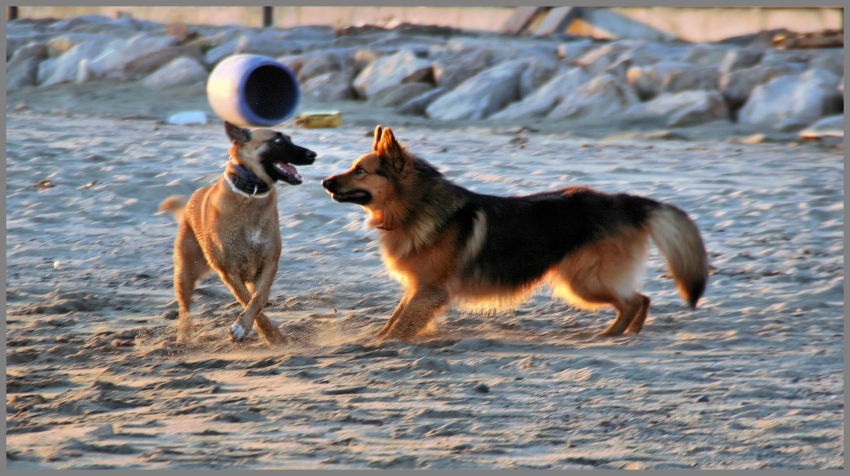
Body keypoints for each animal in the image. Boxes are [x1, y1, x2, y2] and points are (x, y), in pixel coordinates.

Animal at [158, 122, 314, 346]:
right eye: (278, 141)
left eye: (290, 139)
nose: (313, 154)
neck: (251, 195)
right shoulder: (228, 270)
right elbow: (247, 299)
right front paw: (251, 330)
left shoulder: (269, 263)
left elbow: (258, 299)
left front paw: (270, 335)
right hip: (186, 272)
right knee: (184, 309)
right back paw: (184, 338)